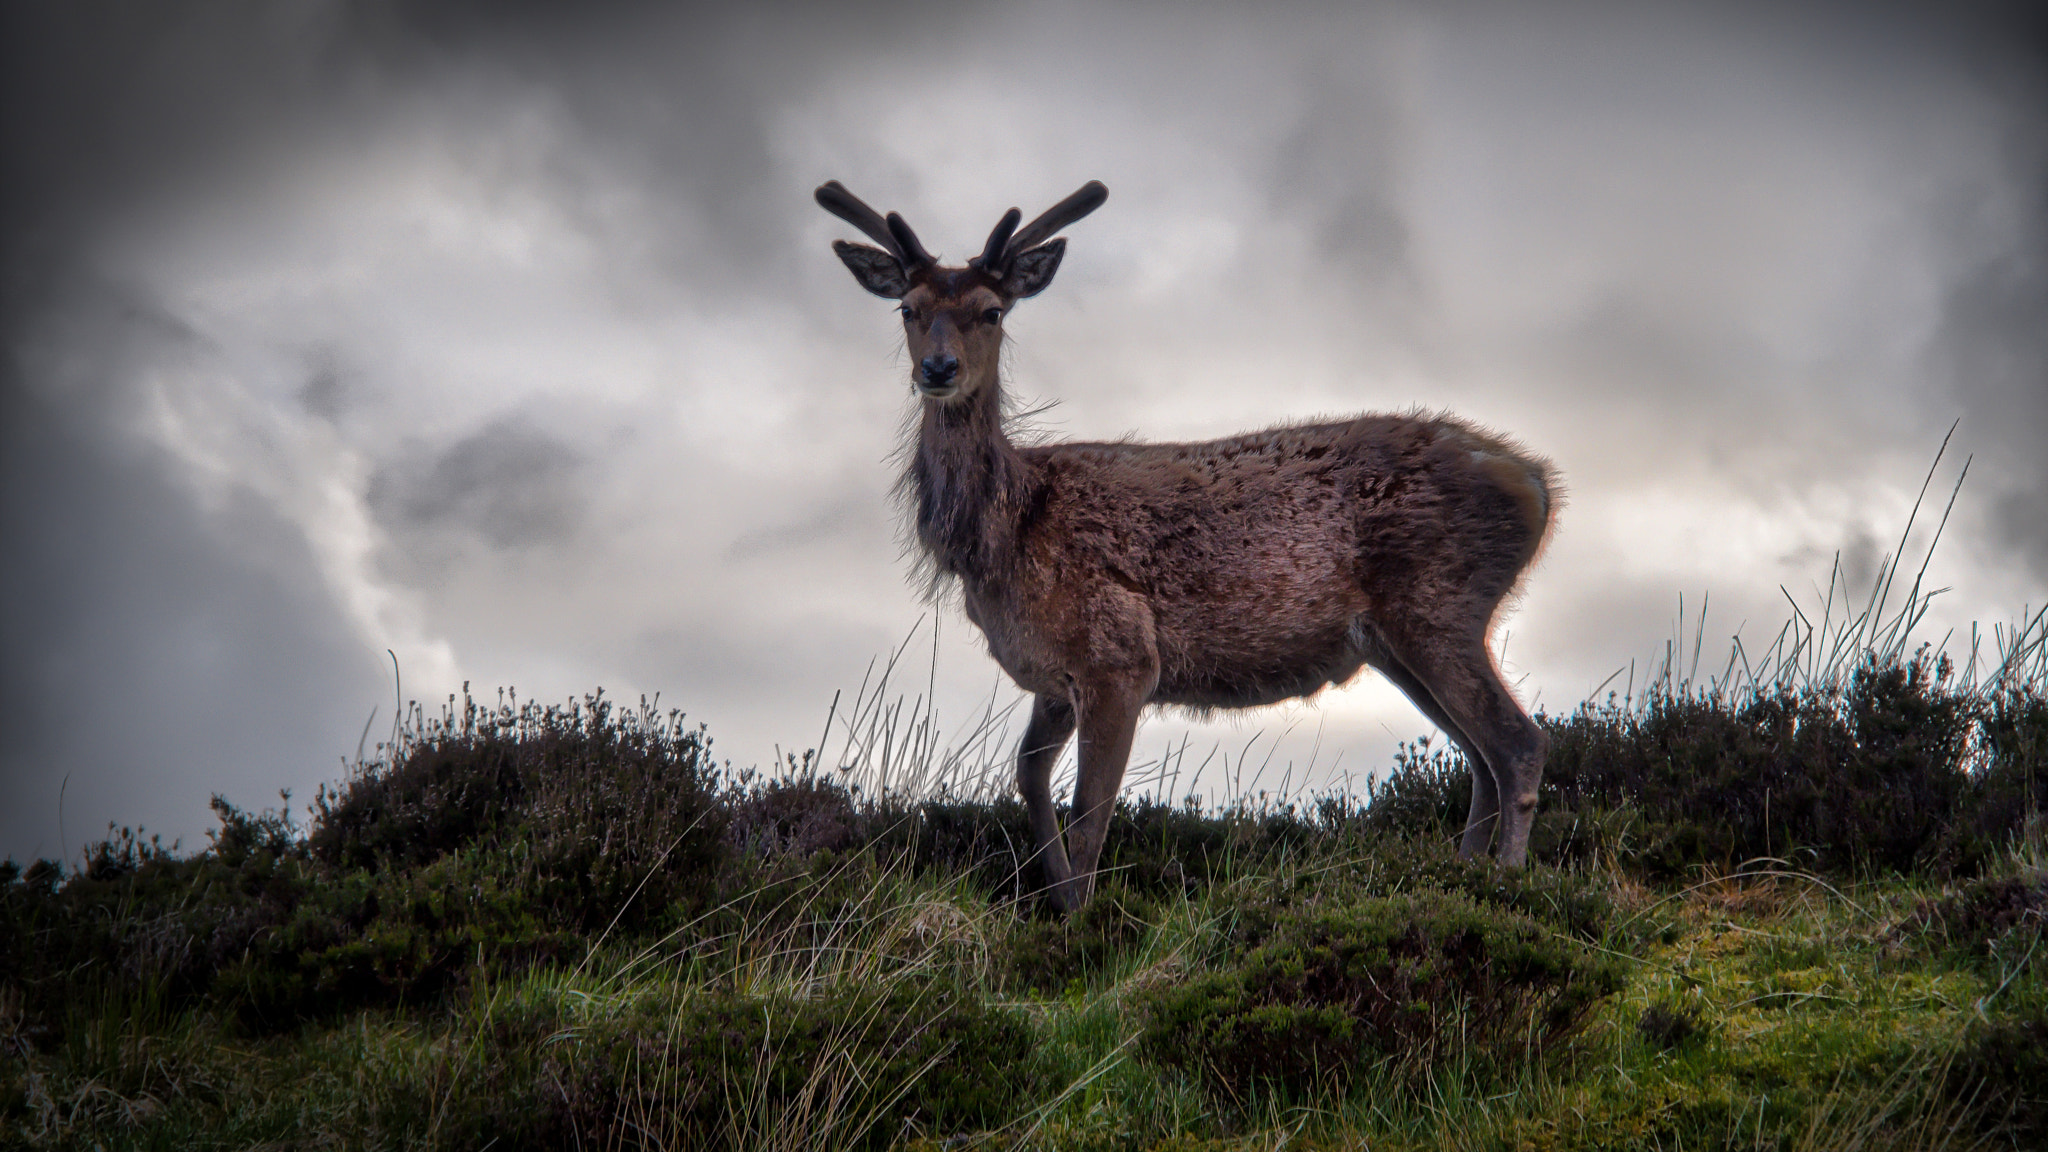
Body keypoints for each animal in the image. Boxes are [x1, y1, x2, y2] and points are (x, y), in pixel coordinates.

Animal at [816, 179, 1560, 912]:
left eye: (991, 311)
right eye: (908, 309)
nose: (938, 368)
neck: (1000, 541)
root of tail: (1535, 482)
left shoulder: (1119, 657)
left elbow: (1091, 815)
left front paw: (1080, 923)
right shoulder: (1053, 676)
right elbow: (1029, 780)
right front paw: (1053, 902)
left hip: (1440, 603)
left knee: (1519, 743)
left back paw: (1509, 884)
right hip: (1395, 641)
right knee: (1479, 757)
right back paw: (1462, 876)